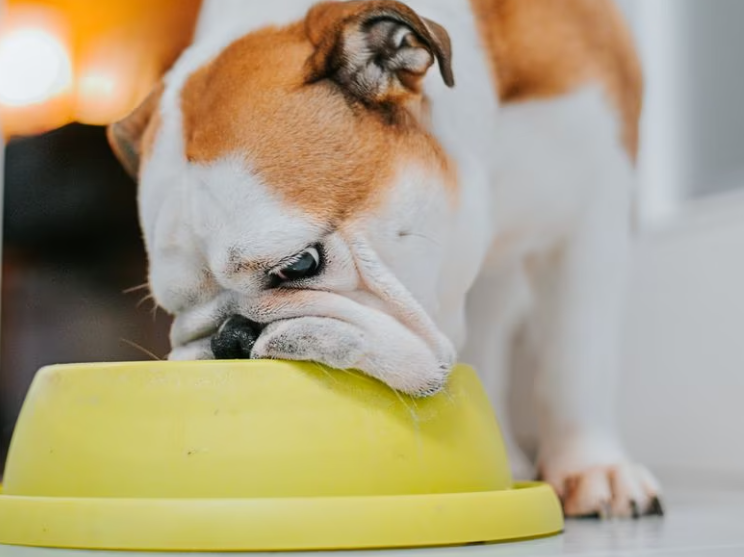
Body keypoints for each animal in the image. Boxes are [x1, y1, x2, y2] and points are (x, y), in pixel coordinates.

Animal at [106, 0, 664, 516]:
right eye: (173, 309)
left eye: (300, 264)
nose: (231, 338)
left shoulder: (591, 215)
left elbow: (577, 357)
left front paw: (594, 468)